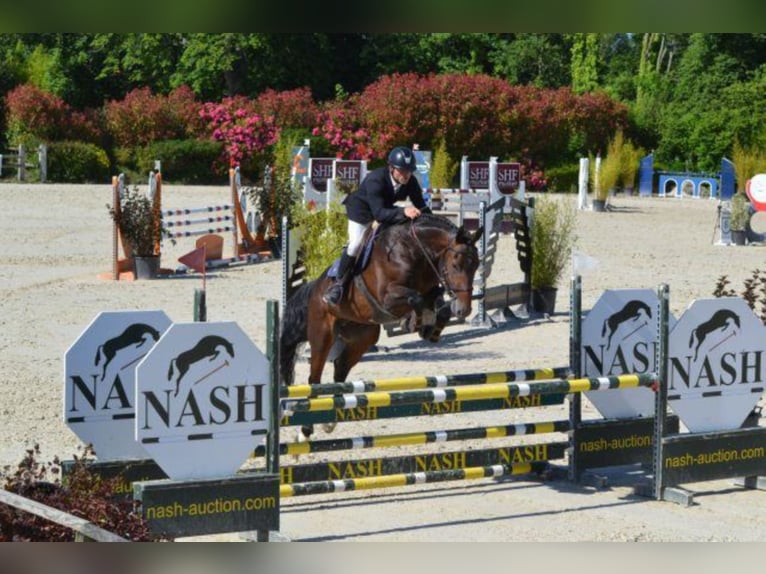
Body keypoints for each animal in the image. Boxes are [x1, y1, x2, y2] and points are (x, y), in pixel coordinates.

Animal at [282, 216, 486, 440]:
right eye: (456, 265)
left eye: (476, 265)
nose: (464, 310)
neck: (414, 251)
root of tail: (315, 289)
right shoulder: (388, 298)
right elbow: (416, 298)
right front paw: (413, 322)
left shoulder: (431, 288)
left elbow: (435, 303)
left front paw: (430, 328)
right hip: (322, 334)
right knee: (314, 378)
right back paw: (305, 432)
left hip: (362, 338)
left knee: (340, 370)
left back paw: (329, 422)